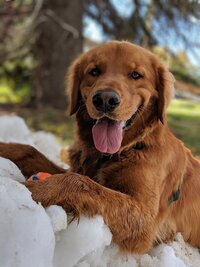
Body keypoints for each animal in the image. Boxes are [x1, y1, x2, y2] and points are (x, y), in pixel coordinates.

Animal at [0, 40, 200, 254]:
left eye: (136, 75)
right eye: (94, 71)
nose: (105, 99)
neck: (124, 150)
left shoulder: (144, 218)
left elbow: (78, 182)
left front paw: (29, 190)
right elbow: (31, 151)